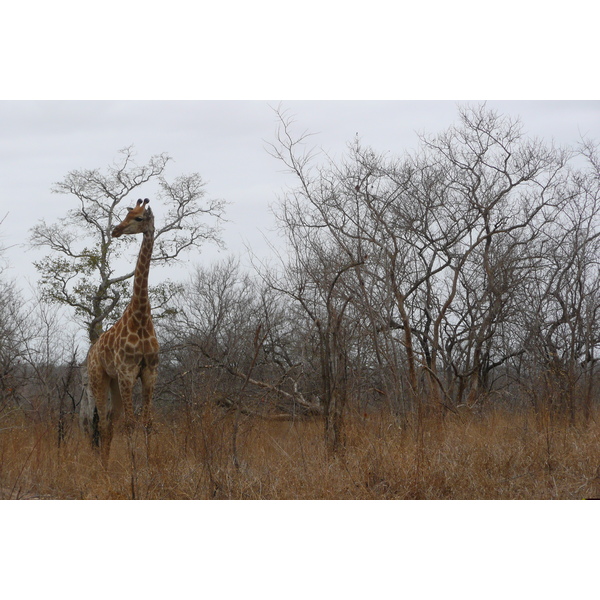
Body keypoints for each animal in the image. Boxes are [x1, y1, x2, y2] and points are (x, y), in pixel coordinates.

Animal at [84, 199, 161, 466]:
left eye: (138, 218)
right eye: (127, 214)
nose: (115, 230)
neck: (141, 316)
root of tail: (91, 352)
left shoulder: (149, 372)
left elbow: (147, 422)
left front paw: (150, 467)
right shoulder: (128, 372)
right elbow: (130, 424)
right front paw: (134, 470)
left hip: (114, 383)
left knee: (110, 423)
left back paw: (106, 466)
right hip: (99, 379)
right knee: (101, 425)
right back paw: (102, 469)